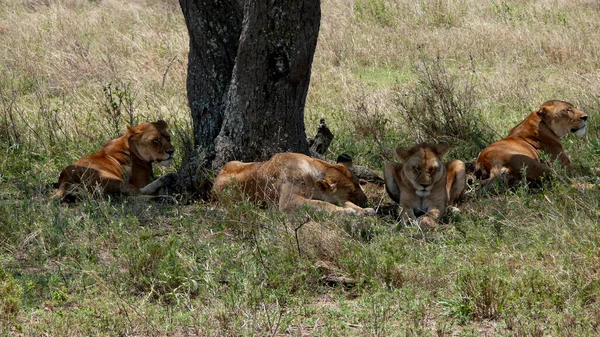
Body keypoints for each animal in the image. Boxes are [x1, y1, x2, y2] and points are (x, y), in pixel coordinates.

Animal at [212, 152, 376, 214]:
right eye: (351, 192)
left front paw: (364, 211)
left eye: (359, 184)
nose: (366, 201)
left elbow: (345, 203)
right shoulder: (288, 202)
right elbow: (321, 204)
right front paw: (349, 211)